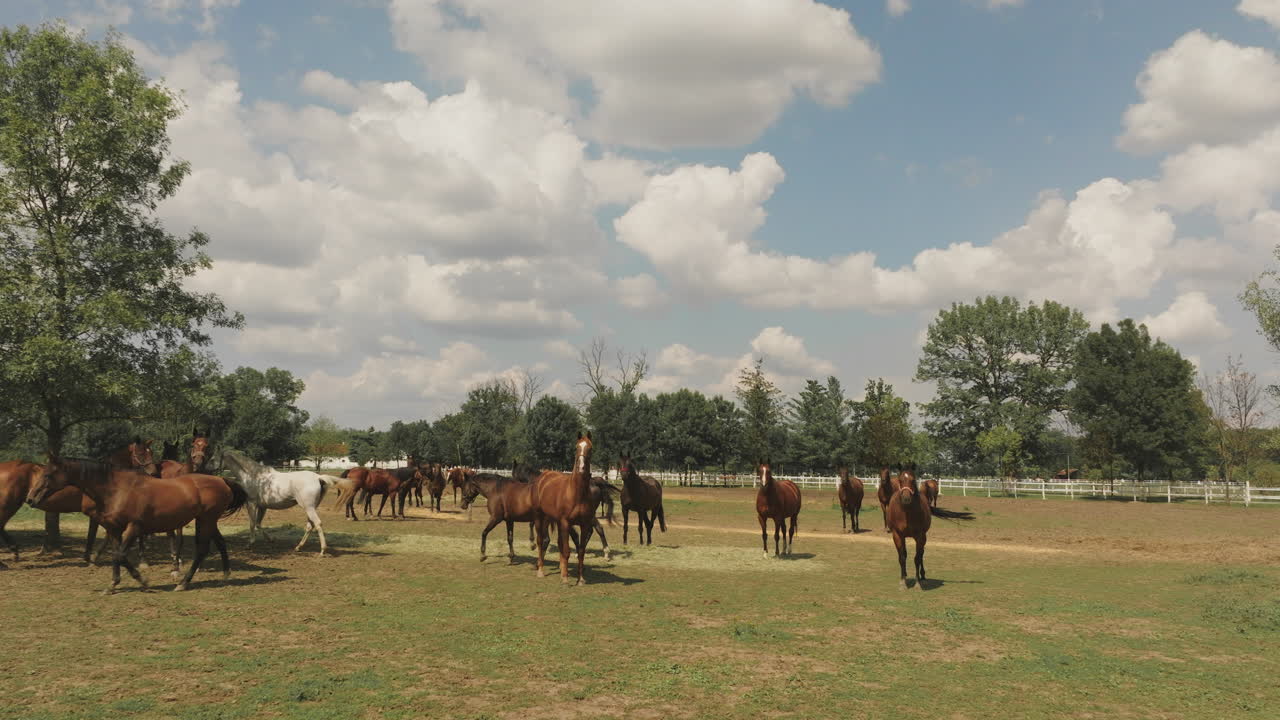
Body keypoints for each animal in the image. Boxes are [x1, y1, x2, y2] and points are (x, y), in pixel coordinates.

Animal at [26, 458, 248, 593]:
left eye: (48, 475)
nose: (30, 499)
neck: (117, 490)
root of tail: (222, 480)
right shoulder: (115, 529)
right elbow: (117, 555)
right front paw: (113, 585)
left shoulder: (134, 528)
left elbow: (120, 555)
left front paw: (143, 581)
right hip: (207, 521)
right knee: (220, 543)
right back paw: (225, 575)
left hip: (207, 520)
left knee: (202, 549)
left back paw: (183, 583)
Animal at [530, 432, 600, 585]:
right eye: (576, 447)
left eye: (590, 448)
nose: (581, 468)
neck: (577, 493)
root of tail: (543, 476)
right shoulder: (566, 522)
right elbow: (567, 550)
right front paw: (566, 580)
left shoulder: (584, 524)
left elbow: (580, 551)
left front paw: (580, 579)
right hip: (539, 517)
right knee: (541, 541)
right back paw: (541, 571)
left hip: (552, 519)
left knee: (557, 543)